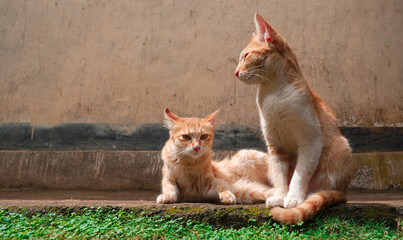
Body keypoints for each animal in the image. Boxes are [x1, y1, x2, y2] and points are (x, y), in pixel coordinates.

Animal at [235, 12, 356, 223]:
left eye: (246, 56)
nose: (235, 72)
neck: (273, 92)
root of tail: (344, 193)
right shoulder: (275, 147)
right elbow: (279, 175)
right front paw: (280, 195)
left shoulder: (311, 141)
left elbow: (300, 173)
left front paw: (293, 197)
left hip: (339, 145)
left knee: (323, 189)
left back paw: (311, 195)